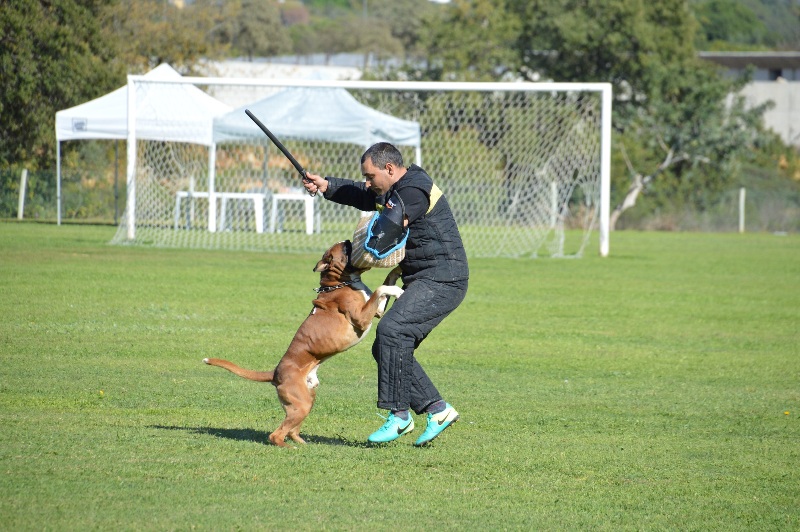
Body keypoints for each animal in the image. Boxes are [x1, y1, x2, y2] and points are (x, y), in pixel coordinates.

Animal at [203, 240, 403, 447]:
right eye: (343, 248)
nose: (348, 241)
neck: (338, 284)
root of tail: (275, 372)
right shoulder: (361, 318)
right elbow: (382, 288)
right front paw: (398, 289)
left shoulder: (376, 311)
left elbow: (386, 282)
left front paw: (397, 270)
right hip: (302, 404)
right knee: (276, 435)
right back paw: (288, 447)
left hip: (307, 400)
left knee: (291, 430)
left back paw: (302, 443)